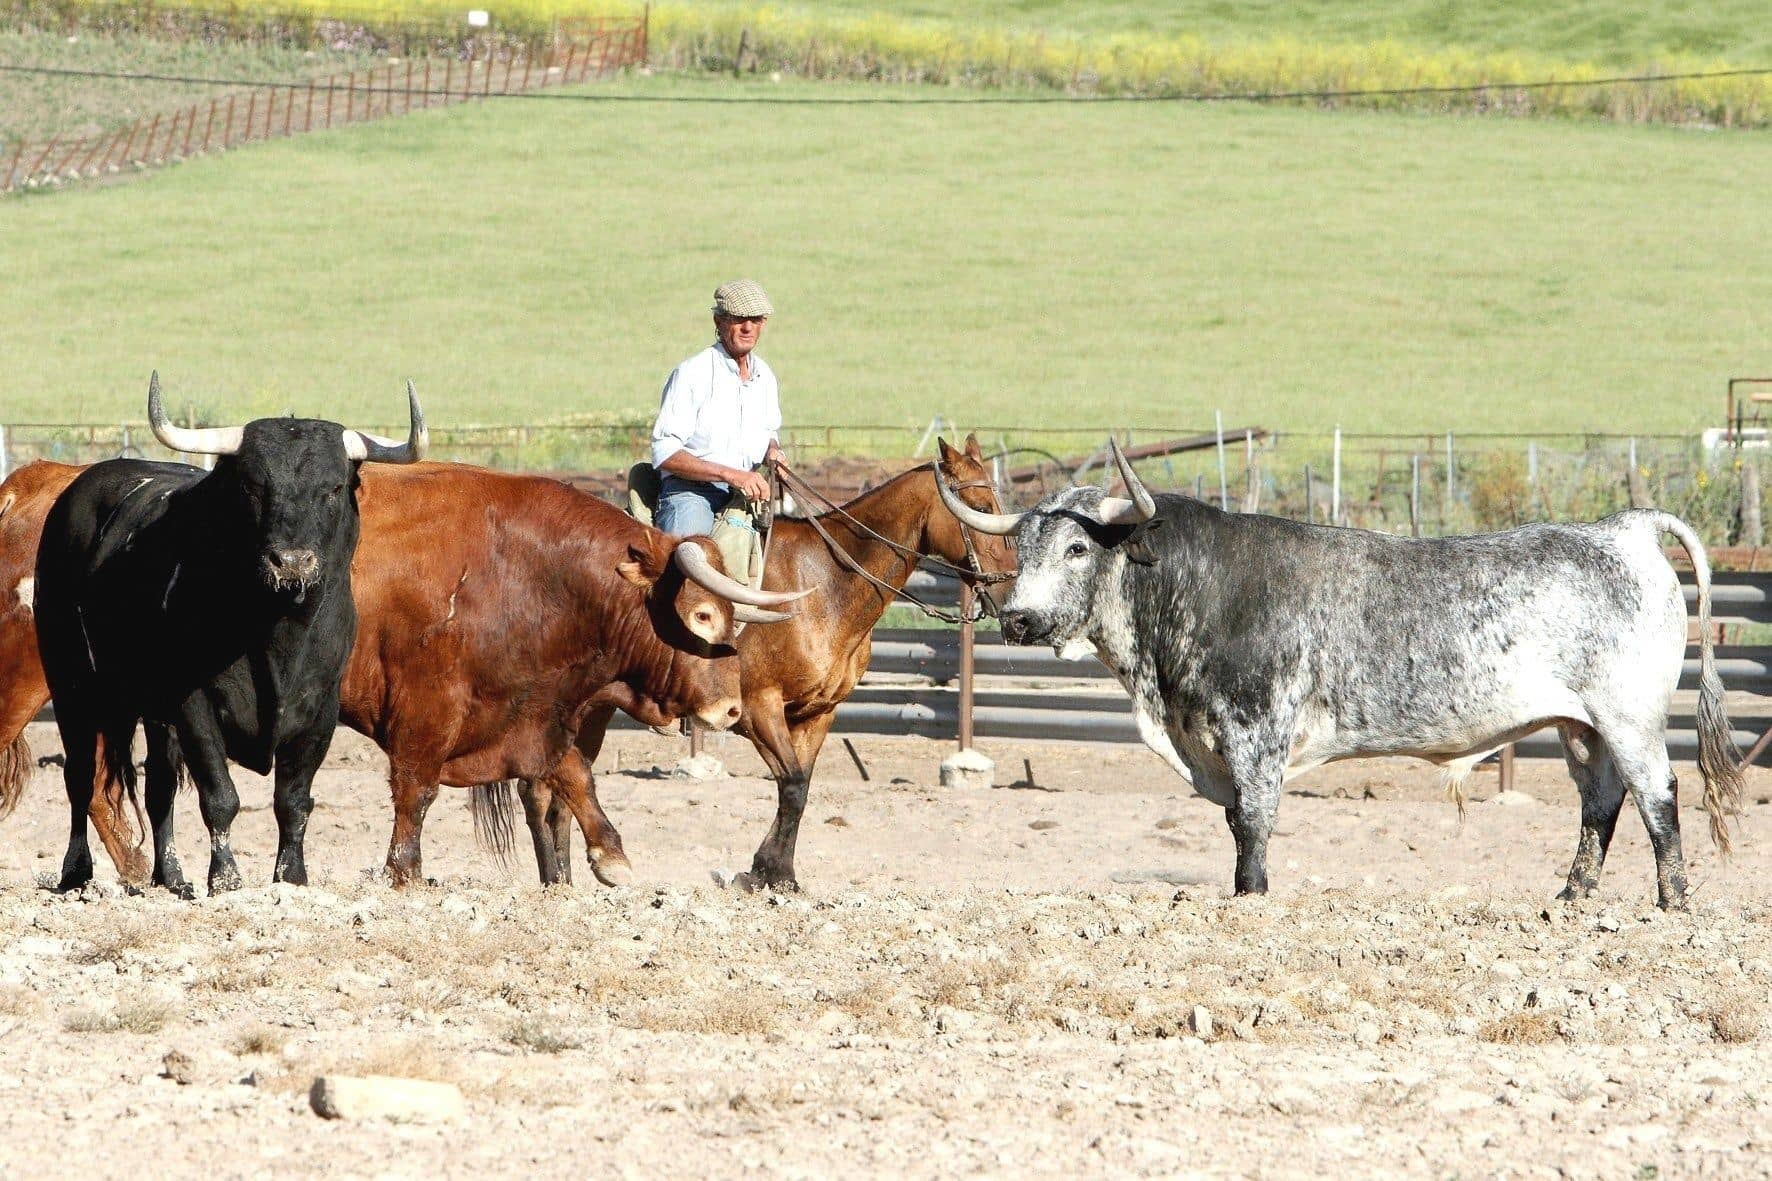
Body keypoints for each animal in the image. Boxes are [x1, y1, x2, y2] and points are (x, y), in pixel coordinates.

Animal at [0, 457, 793, 883]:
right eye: (703, 616)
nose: (730, 711)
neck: (524, 569)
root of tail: (38, 485)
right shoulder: (427, 707)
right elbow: (416, 790)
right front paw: (403, 869)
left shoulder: (531, 714)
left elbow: (570, 775)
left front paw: (611, 855)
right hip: (57, 687)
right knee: (87, 781)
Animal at [942, 436, 1743, 904]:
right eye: (1025, 547)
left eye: (1077, 549)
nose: (1017, 617)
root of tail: (1625, 527)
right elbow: (1235, 821)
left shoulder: (1256, 734)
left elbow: (1253, 822)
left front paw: (1251, 897)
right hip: (1583, 727)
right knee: (1600, 803)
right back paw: (1569, 901)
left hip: (1629, 718)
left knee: (1659, 798)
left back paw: (1672, 903)